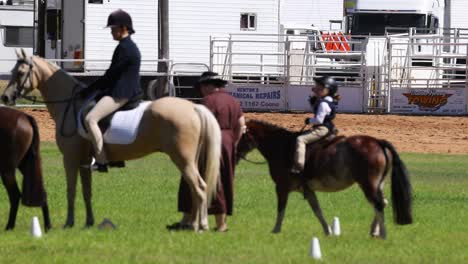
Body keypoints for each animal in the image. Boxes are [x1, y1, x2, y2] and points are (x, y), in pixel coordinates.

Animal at [1, 49, 221, 231]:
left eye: (20, 72)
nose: (6, 97)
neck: (71, 105)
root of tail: (193, 107)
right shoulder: (83, 161)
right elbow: (86, 191)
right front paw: (88, 222)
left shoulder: (70, 159)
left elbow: (71, 190)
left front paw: (68, 223)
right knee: (195, 189)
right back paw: (192, 223)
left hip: (182, 159)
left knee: (200, 187)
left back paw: (200, 225)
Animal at [238, 120, 414, 239]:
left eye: (241, 135)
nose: (235, 153)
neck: (282, 147)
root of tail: (377, 142)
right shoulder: (308, 190)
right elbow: (317, 210)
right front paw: (328, 231)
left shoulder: (281, 187)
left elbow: (281, 209)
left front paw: (275, 230)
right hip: (378, 185)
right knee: (382, 203)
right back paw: (374, 231)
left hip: (368, 185)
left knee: (378, 204)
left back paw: (382, 234)